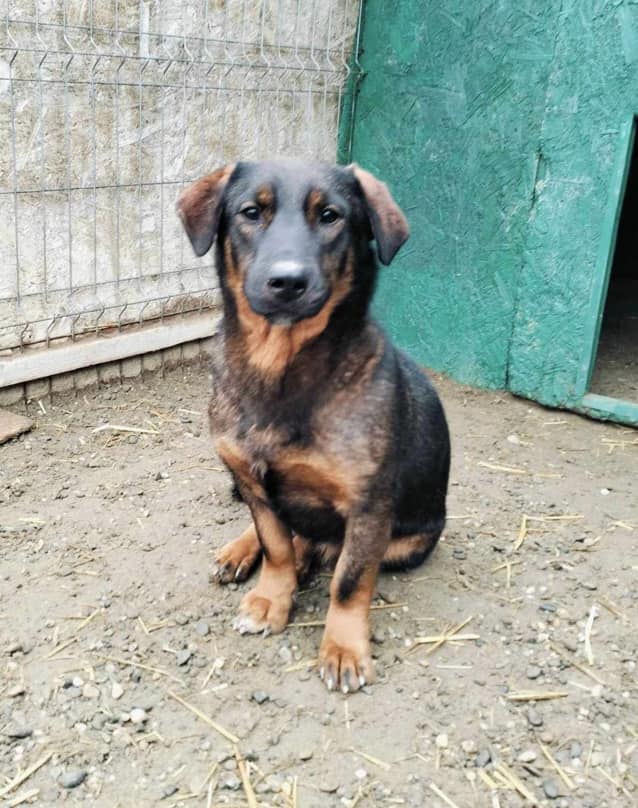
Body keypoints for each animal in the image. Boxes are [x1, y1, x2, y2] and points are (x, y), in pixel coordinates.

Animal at [178, 159, 452, 696]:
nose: (288, 282)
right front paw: (271, 598)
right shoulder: (252, 482)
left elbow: (349, 580)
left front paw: (343, 648)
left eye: (330, 216)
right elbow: (276, 546)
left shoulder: (369, 508)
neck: (280, 370)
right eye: (251, 212)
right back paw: (240, 553)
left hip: (410, 541)